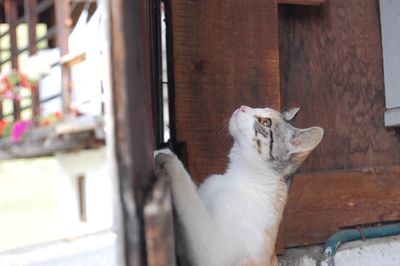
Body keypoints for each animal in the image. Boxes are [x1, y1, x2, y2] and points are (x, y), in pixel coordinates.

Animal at [155, 105, 324, 266]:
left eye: (265, 122)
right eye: (259, 107)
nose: (243, 107)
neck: (235, 178)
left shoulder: (213, 252)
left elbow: (190, 201)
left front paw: (169, 157)